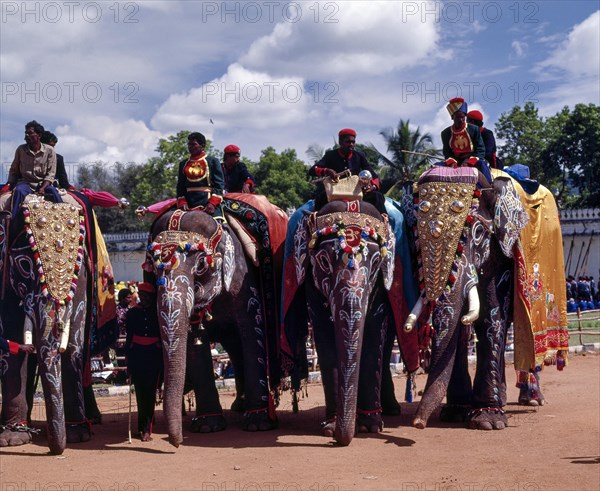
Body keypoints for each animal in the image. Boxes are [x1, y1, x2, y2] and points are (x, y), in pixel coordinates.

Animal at [0, 197, 94, 458]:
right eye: (24, 265)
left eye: (76, 269)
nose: (56, 451)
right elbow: (10, 341)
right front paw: (12, 438)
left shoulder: (82, 285)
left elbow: (74, 344)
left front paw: (78, 436)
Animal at [144, 196, 288, 450]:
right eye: (151, 263)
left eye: (201, 264)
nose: (176, 444)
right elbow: (195, 339)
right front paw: (207, 427)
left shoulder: (244, 277)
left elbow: (253, 329)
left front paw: (258, 424)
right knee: (234, 349)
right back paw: (239, 407)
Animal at [282, 196, 422, 446]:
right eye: (324, 261)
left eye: (376, 262)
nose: (338, 440)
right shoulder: (310, 278)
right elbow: (324, 332)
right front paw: (330, 427)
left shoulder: (382, 281)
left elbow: (374, 327)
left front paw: (370, 427)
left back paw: (389, 410)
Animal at [404, 165, 528, 430]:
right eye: (416, 234)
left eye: (479, 232)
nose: (418, 423)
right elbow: (459, 328)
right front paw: (455, 413)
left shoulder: (501, 252)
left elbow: (492, 315)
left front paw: (488, 421)